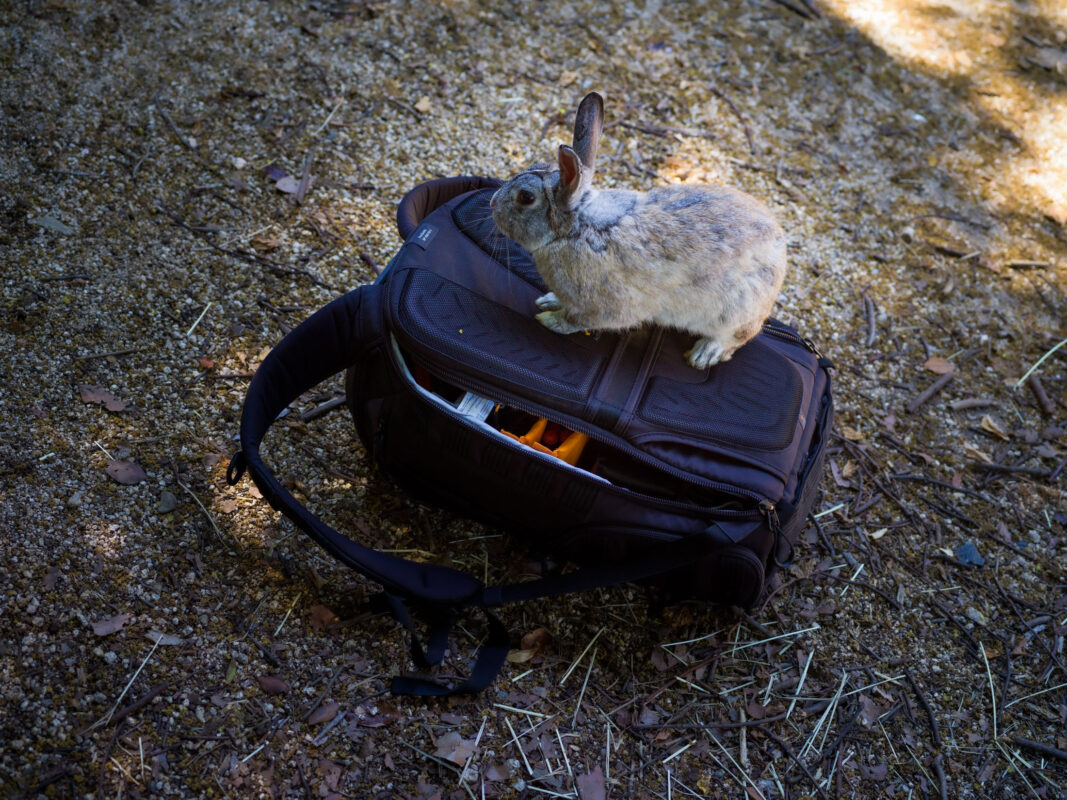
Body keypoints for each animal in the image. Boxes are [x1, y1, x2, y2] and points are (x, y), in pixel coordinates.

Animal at [490, 92, 788, 369]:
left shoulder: (605, 307)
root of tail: (780, 250)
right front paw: (549, 301)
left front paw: (549, 319)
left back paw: (704, 355)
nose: (492, 202)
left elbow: (576, 320)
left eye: (526, 197)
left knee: (735, 337)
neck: (574, 229)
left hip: (734, 311)